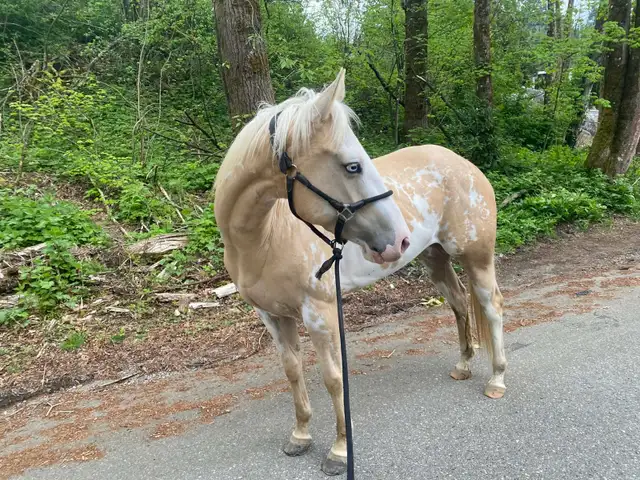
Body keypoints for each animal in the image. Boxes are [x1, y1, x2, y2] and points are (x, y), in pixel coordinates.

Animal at [213, 69, 507, 476]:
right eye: (353, 166)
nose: (399, 239)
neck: (266, 237)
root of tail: (464, 164)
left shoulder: (320, 314)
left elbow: (334, 379)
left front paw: (339, 451)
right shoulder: (271, 316)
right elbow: (292, 372)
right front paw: (300, 435)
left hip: (477, 257)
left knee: (491, 307)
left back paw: (497, 379)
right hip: (435, 259)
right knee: (460, 303)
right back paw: (463, 365)